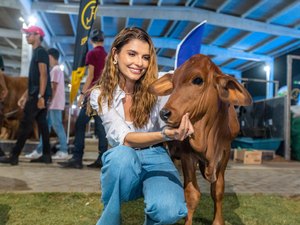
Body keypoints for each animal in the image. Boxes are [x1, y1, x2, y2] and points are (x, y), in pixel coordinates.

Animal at [149, 54, 252, 225]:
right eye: (174, 83)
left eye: (198, 80)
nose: (164, 113)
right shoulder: (187, 155)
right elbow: (192, 194)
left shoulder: (225, 152)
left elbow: (218, 190)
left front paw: (218, 221)